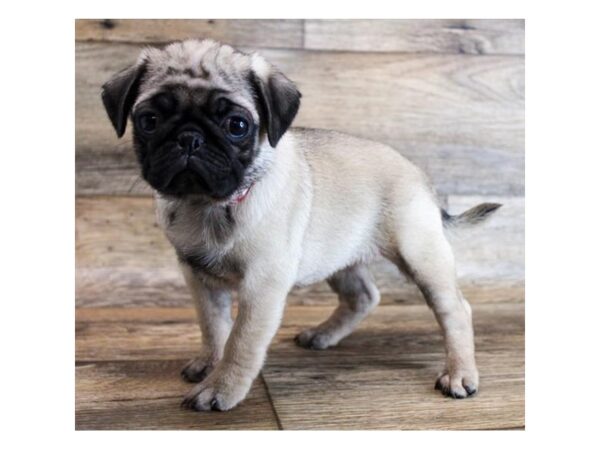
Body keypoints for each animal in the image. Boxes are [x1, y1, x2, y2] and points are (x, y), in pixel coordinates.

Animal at [101, 38, 500, 412]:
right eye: (149, 121)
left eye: (237, 126)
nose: (189, 138)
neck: (210, 205)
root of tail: (421, 177)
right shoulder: (200, 279)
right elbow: (213, 328)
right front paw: (209, 363)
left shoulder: (262, 285)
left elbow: (241, 342)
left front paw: (221, 389)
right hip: (340, 257)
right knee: (363, 297)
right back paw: (323, 335)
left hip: (420, 253)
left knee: (454, 310)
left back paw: (460, 375)